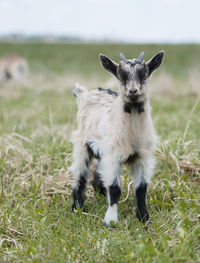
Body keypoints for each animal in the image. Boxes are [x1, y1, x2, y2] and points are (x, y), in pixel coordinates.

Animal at [70, 50, 164, 227]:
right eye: (121, 76)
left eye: (144, 74)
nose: (133, 91)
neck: (131, 136)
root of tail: (85, 94)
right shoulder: (113, 157)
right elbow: (115, 189)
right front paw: (111, 220)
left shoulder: (142, 157)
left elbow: (141, 189)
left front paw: (144, 218)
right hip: (81, 145)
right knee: (79, 176)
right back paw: (77, 207)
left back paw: (99, 193)